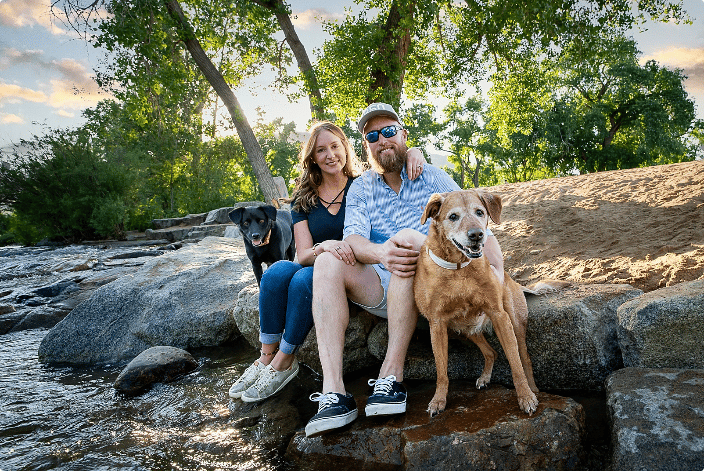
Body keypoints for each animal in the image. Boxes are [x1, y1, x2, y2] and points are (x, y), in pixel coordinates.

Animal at [412, 188, 540, 416]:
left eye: (480, 212)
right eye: (453, 216)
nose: (477, 234)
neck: (458, 269)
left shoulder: (499, 316)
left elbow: (515, 364)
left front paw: (525, 397)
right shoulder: (437, 325)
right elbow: (441, 371)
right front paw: (438, 400)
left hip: (515, 322)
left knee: (524, 358)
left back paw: (533, 389)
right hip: (464, 330)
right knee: (491, 352)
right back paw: (485, 378)